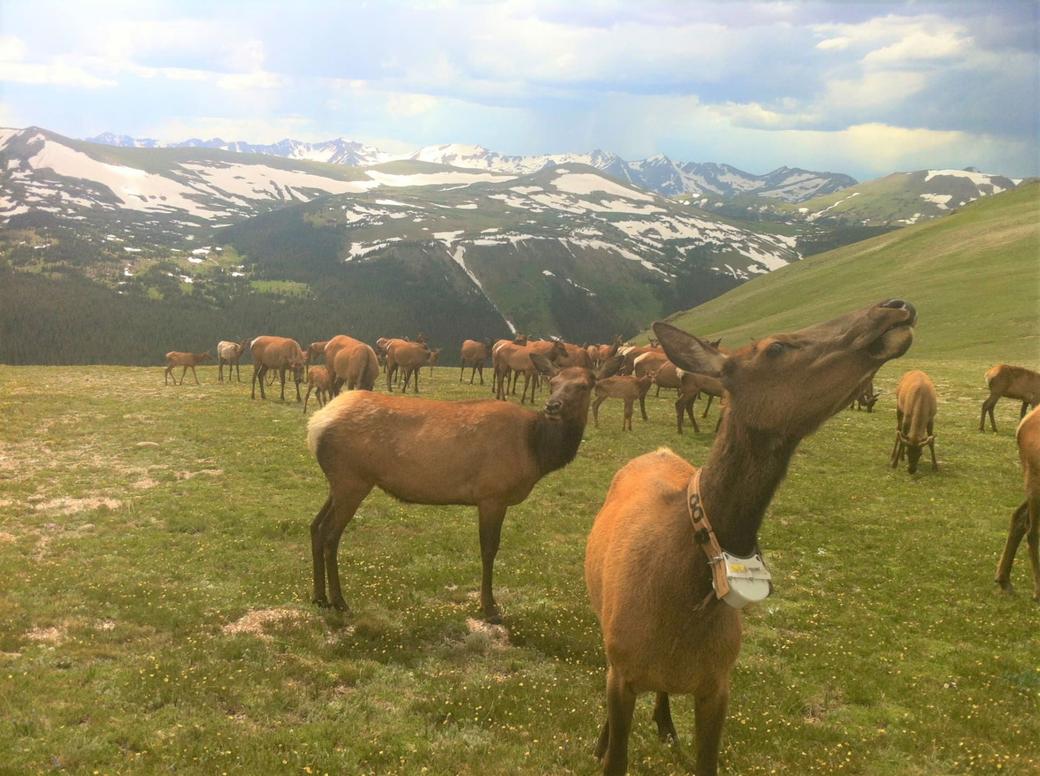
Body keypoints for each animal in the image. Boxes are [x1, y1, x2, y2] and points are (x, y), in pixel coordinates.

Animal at [307, 353, 619, 623]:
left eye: (583, 385)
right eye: (553, 382)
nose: (552, 406)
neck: (537, 451)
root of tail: (314, 426)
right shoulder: (492, 495)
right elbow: (489, 549)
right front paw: (490, 607)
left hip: (340, 483)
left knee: (315, 526)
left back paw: (319, 597)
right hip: (353, 480)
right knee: (331, 534)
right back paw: (339, 600)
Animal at [584, 299, 916, 776]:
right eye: (775, 347)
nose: (893, 307)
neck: (682, 606)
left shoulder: (719, 683)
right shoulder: (622, 668)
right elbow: (617, 757)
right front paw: (605, 744)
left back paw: (666, 724)